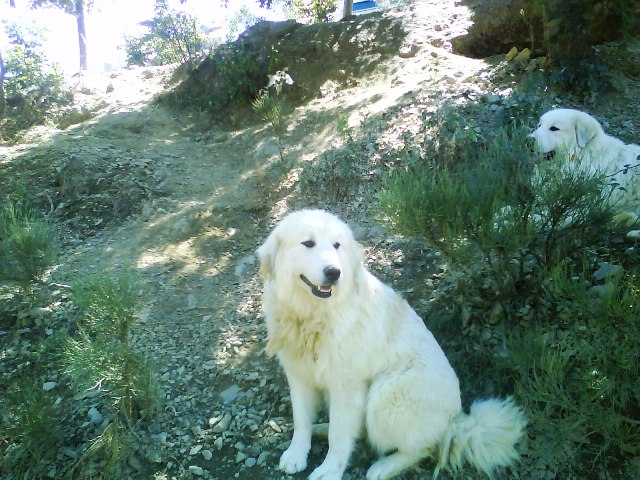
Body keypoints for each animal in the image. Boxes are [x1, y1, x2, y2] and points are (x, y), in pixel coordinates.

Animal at [258, 210, 528, 480]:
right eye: (308, 243)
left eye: (337, 245)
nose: (334, 272)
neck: (312, 316)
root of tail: (457, 419)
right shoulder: (299, 375)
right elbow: (301, 420)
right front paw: (296, 454)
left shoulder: (347, 386)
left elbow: (340, 435)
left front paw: (330, 470)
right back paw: (322, 428)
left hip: (385, 393)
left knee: (421, 448)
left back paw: (383, 467)